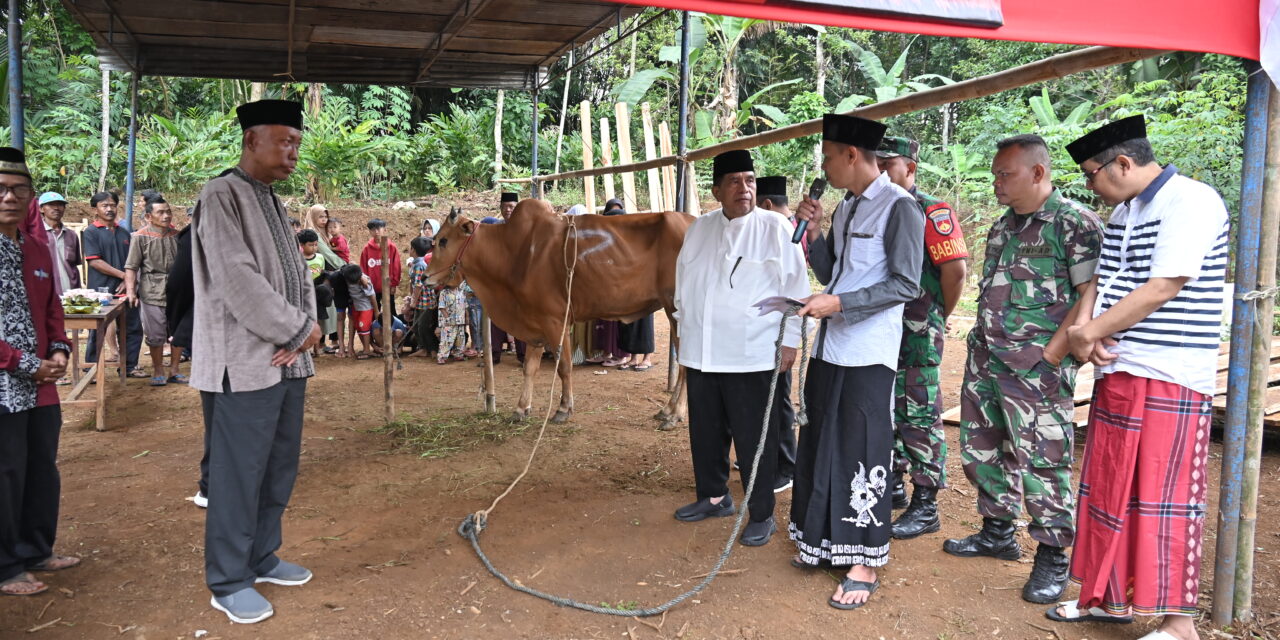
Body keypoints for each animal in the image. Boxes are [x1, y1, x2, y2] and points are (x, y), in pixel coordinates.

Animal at [424, 202, 696, 427]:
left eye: (443, 240)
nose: (425, 277)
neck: (514, 252)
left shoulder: (555, 321)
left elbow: (564, 366)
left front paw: (563, 409)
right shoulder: (534, 324)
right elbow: (529, 368)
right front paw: (521, 409)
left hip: (676, 310)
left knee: (687, 364)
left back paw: (674, 414)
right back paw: (668, 410)